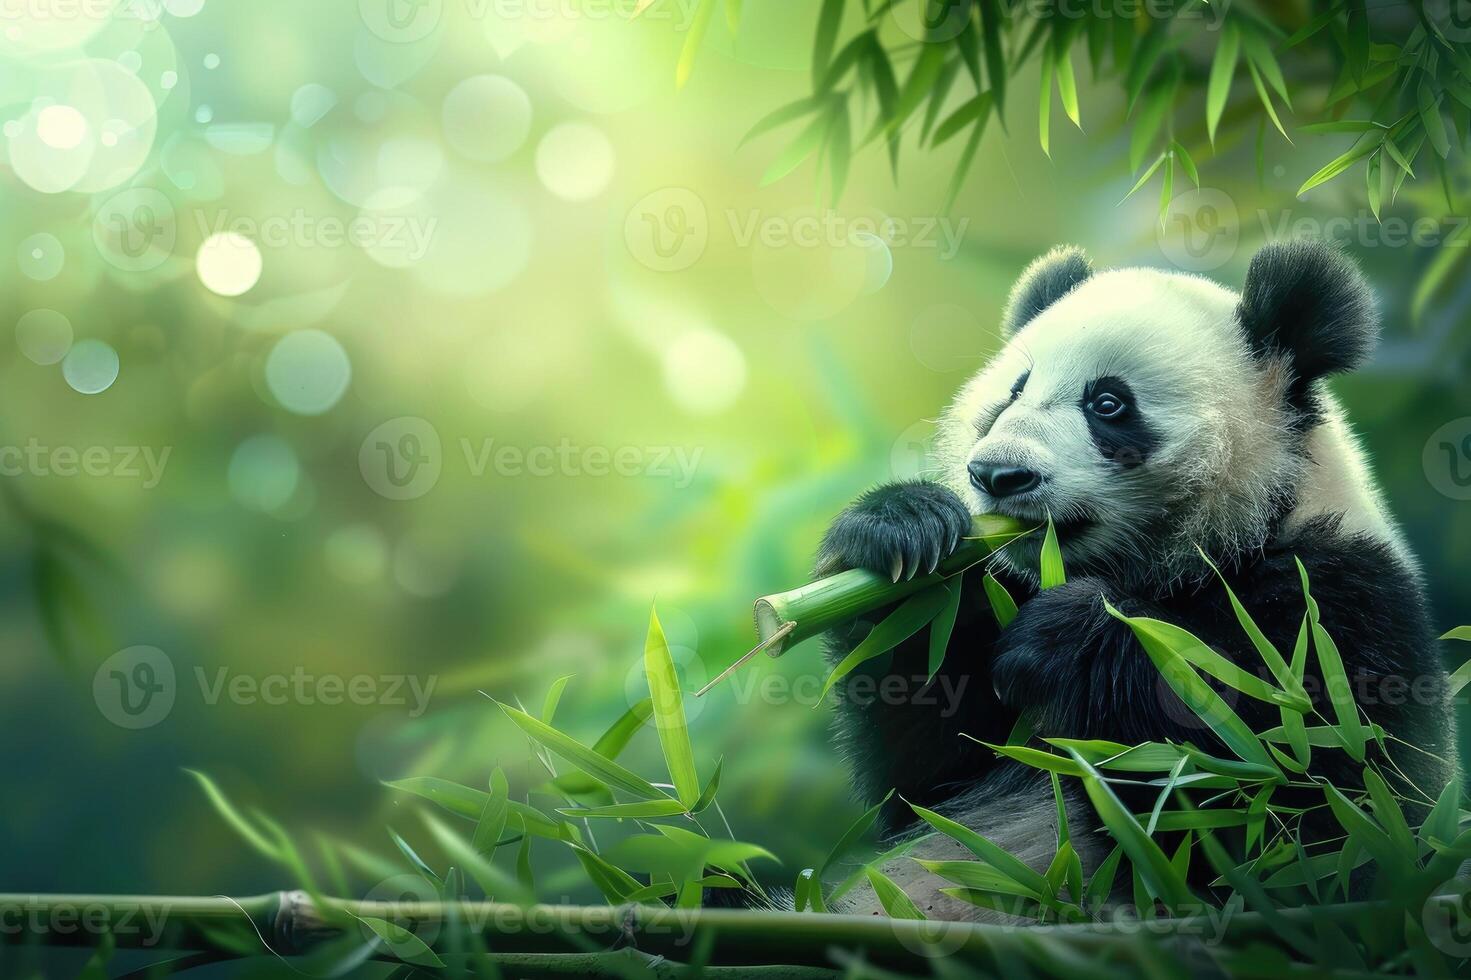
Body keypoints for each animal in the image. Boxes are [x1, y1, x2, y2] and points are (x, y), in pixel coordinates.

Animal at [817, 236, 1459, 918]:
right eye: (1012, 393)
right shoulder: (1000, 595)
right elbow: (923, 780)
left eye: (1108, 403)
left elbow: (1314, 815)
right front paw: (898, 531)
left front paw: (1073, 636)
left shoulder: (1342, 604)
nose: (997, 474)